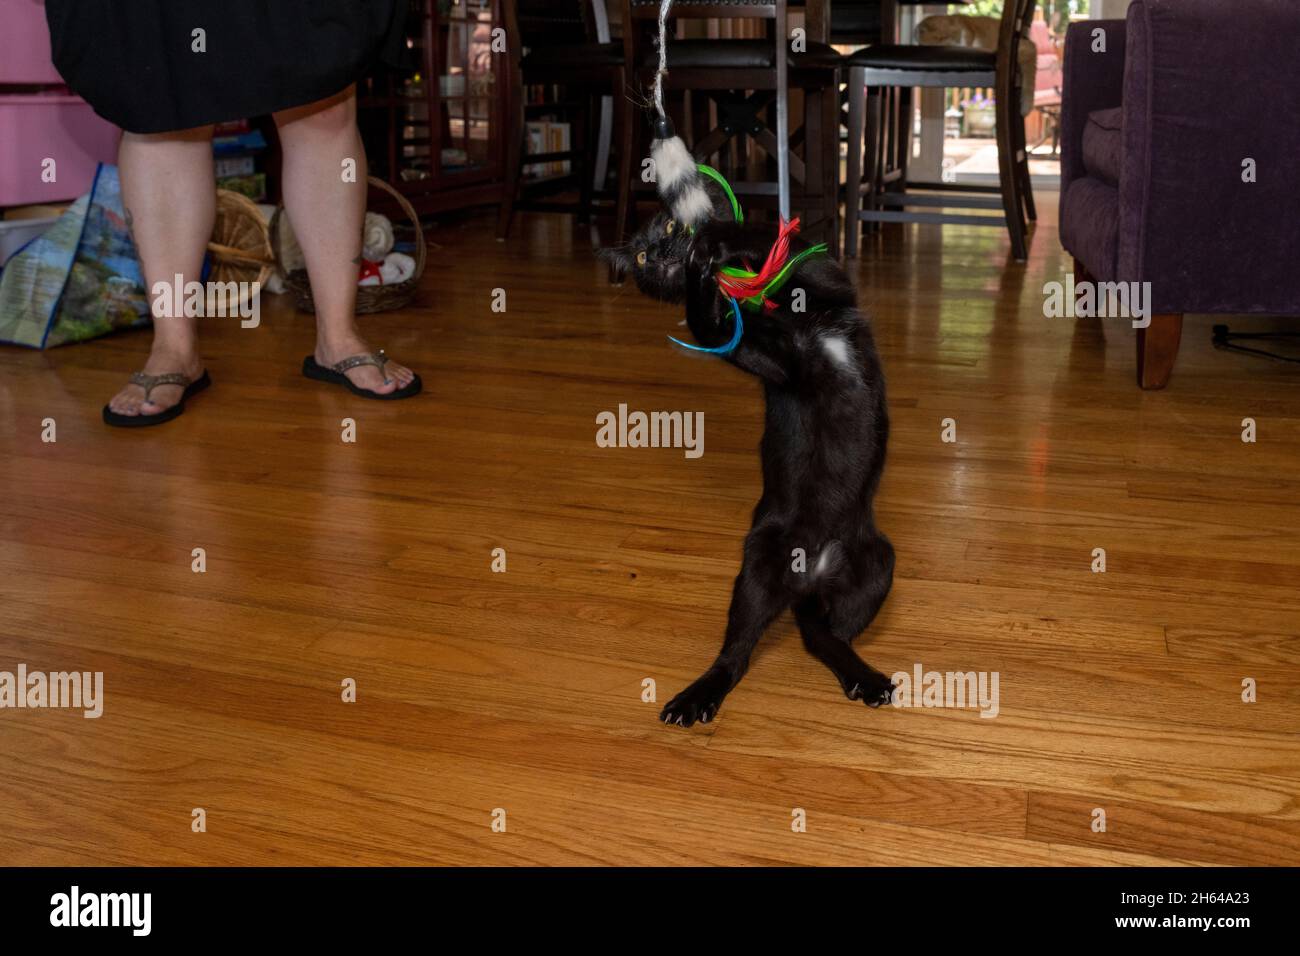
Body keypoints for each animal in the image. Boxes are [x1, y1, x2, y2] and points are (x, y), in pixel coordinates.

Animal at [600, 205, 894, 728]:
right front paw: (702, 272)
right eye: (641, 257)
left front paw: (719, 236)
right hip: (758, 563)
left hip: (879, 561)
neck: (790, 315)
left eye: (668, 228)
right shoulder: (760, 354)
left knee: (825, 633)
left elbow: (800, 257)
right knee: (738, 653)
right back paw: (697, 698)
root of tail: (809, 577)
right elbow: (709, 327)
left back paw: (861, 675)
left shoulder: (831, 286)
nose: (662, 251)